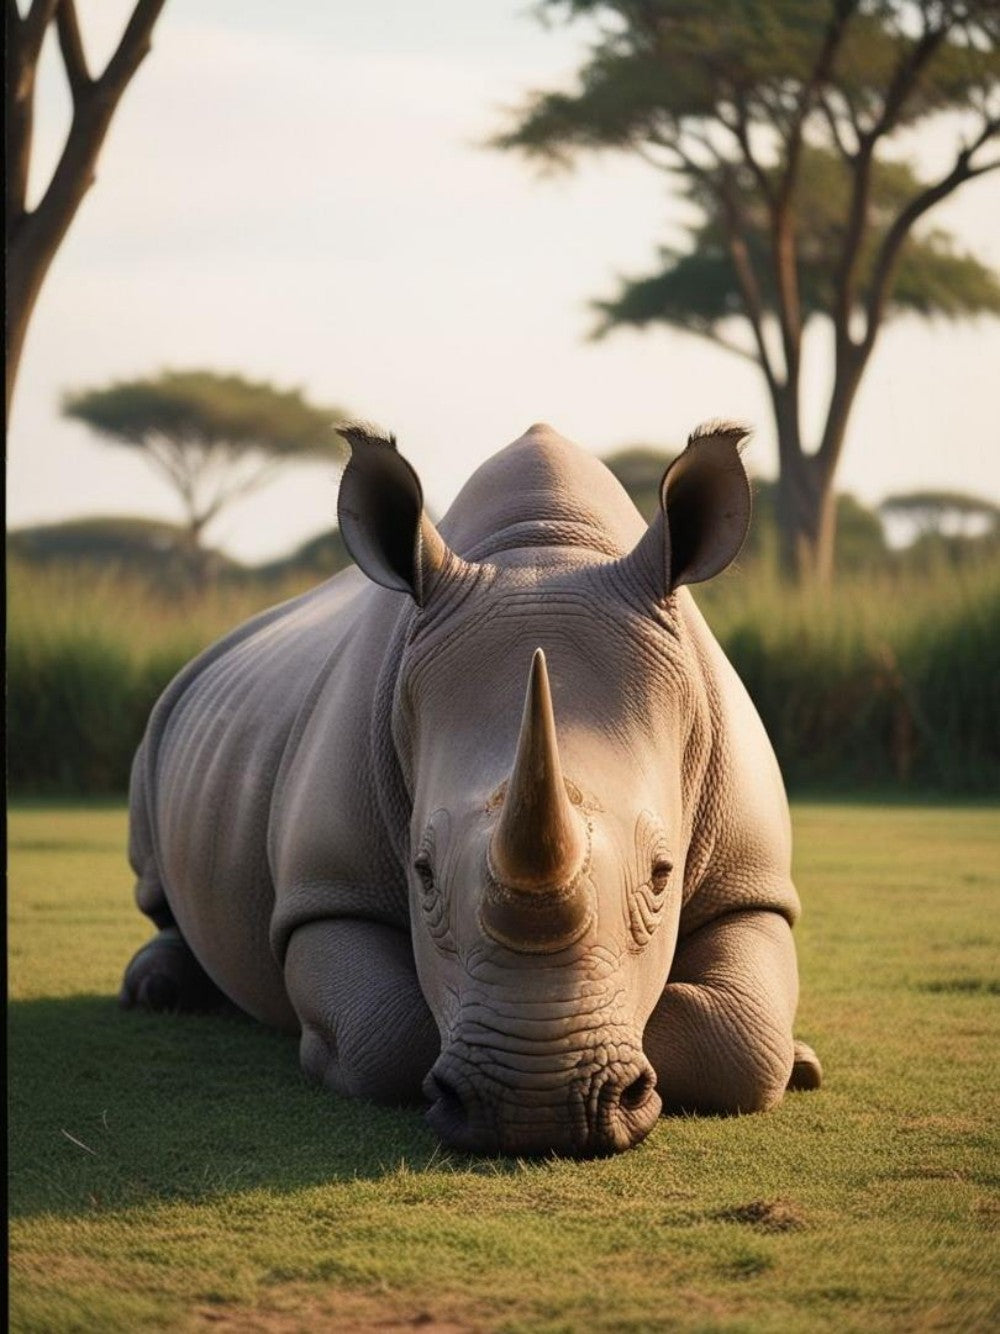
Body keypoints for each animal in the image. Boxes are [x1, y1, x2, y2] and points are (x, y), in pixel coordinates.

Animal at [121, 421, 821, 1157]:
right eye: (422, 873)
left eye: (663, 874)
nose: (539, 1109)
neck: (546, 546)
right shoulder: (328, 889)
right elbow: (388, 1027)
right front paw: (316, 1046)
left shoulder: (754, 881)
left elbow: (741, 1033)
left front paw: (795, 1060)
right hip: (170, 716)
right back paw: (157, 990)